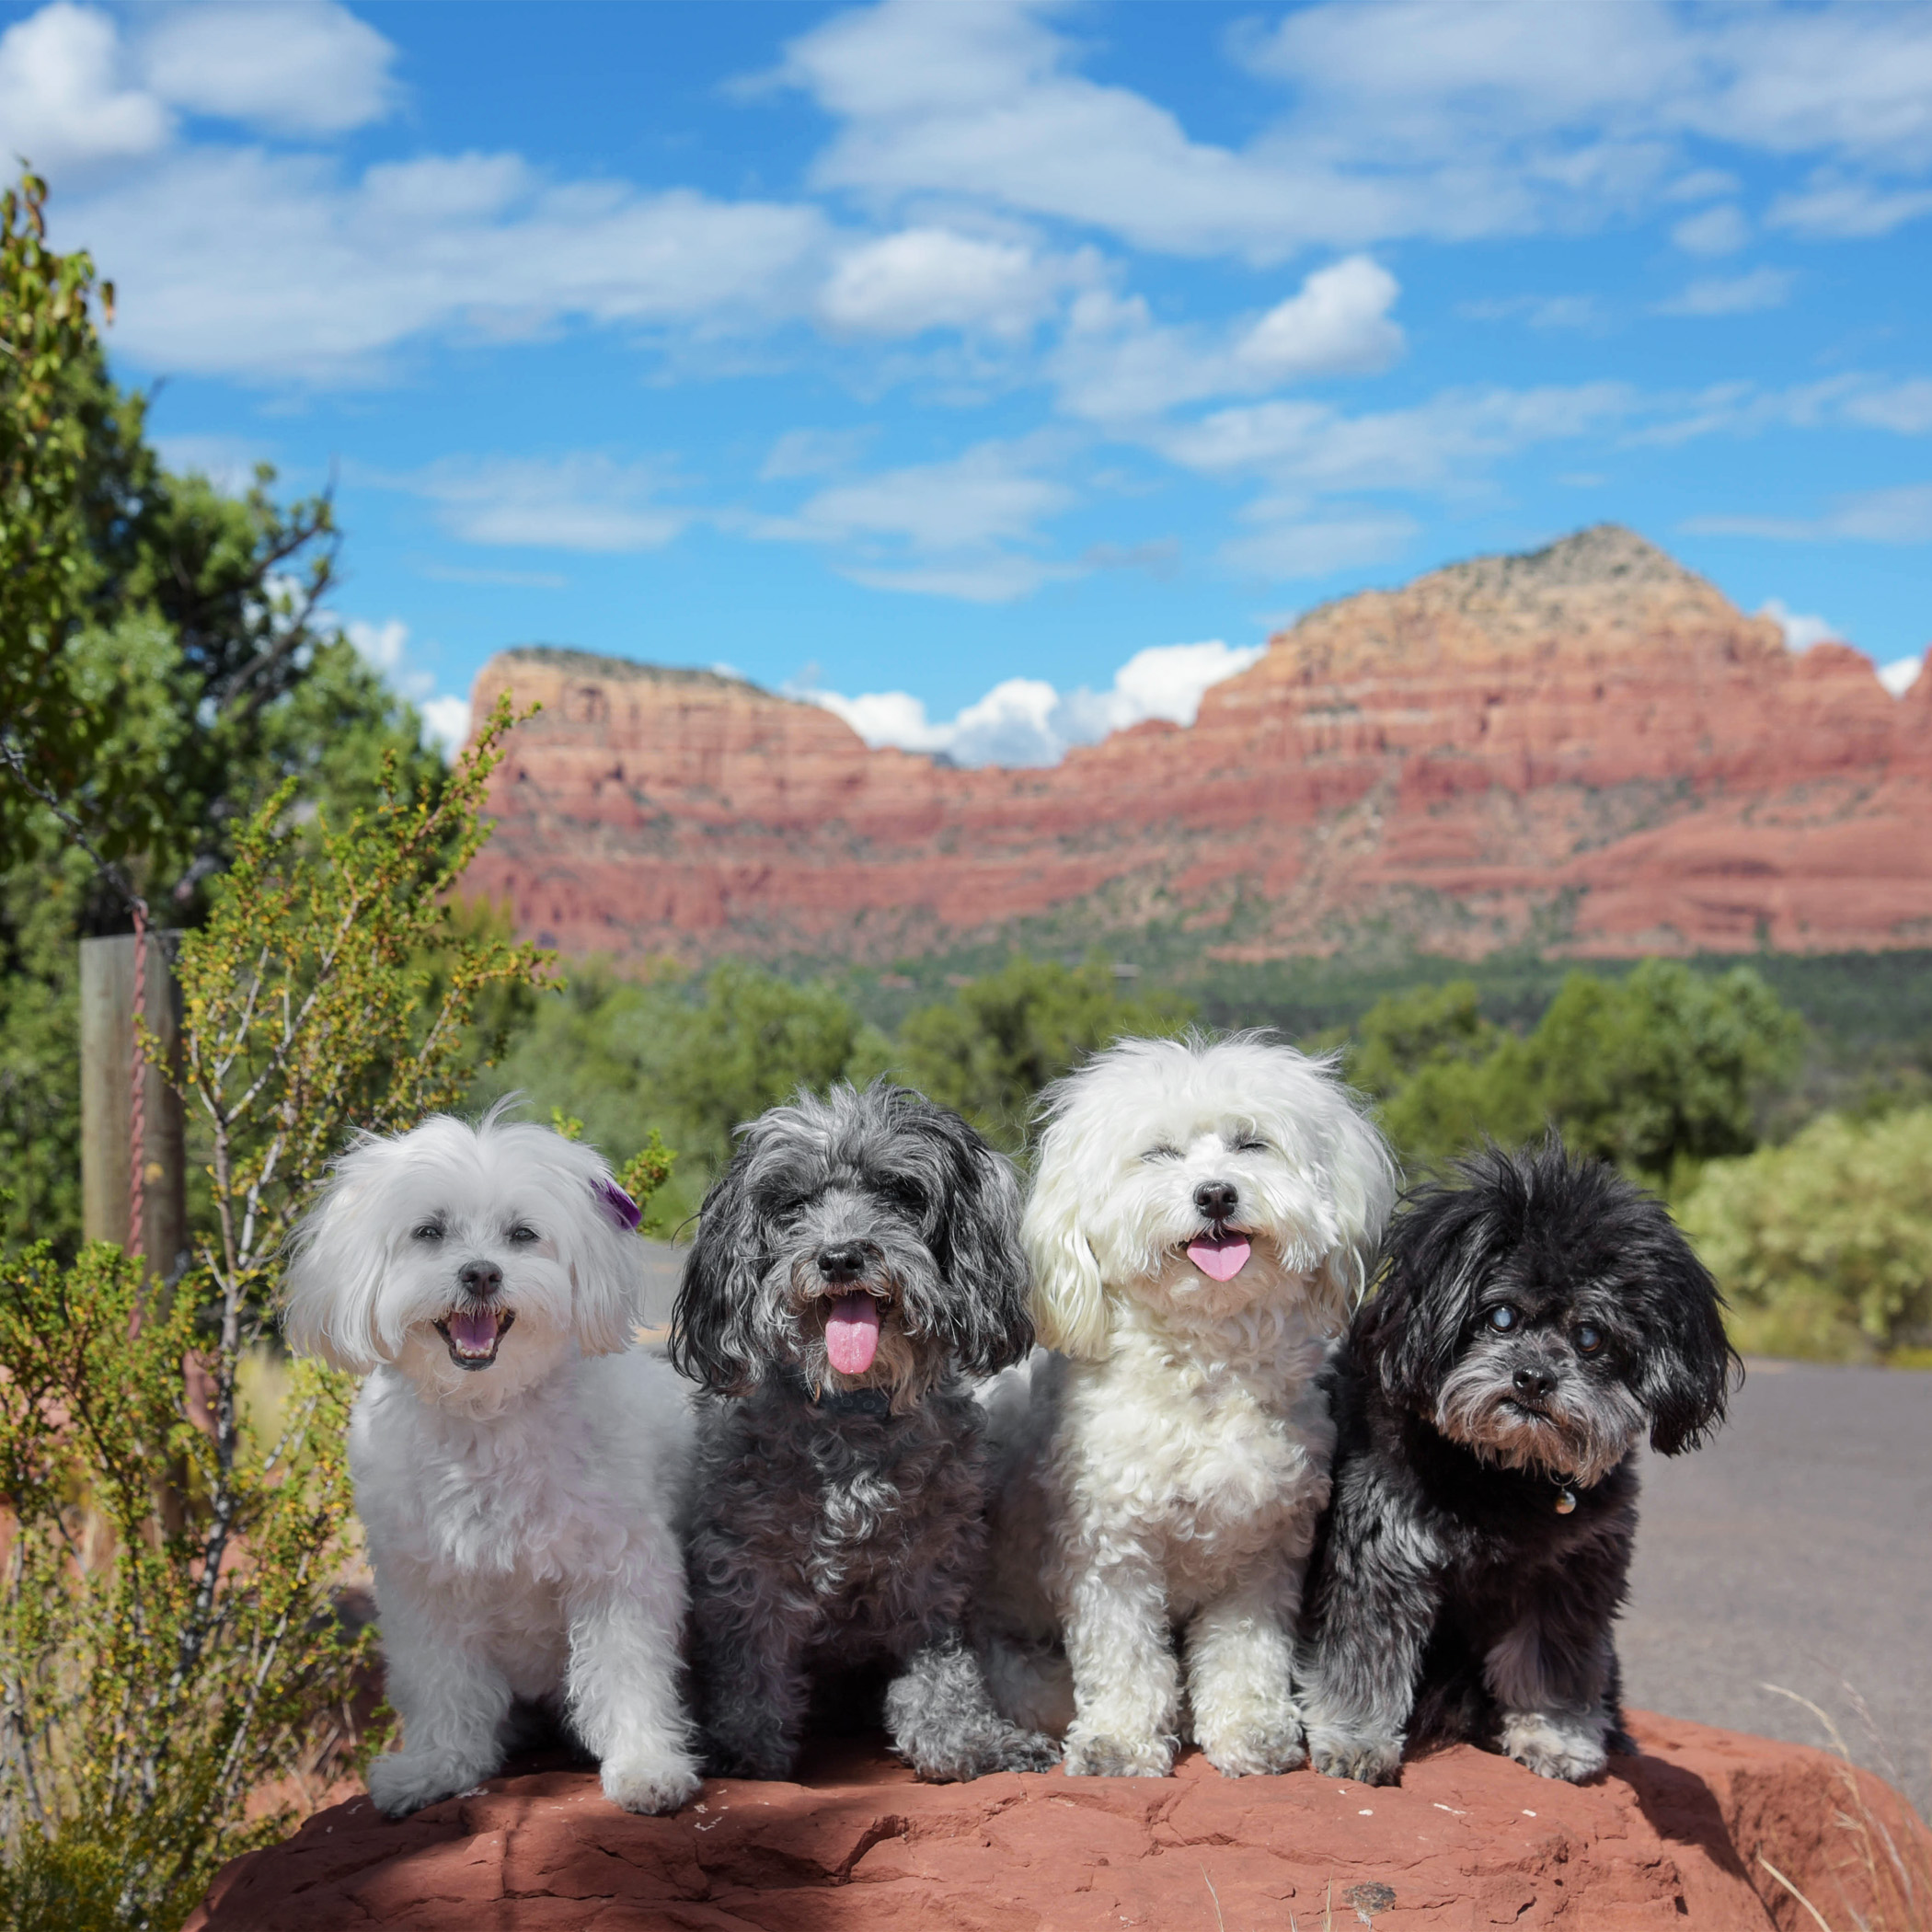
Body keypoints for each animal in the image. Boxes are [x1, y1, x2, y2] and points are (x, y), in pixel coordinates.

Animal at [282, 1112, 699, 1815]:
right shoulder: (426, 1584)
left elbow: (626, 1670)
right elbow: (441, 1679)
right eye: (429, 1231)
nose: (480, 1274)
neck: (487, 1414)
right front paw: (437, 1767)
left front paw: (646, 1766)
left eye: (522, 1234)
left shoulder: (620, 1568)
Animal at [664, 1082, 1058, 1785]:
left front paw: (967, 1744)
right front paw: (745, 1752)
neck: (851, 1410)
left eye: (899, 1191)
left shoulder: (933, 1565)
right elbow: (749, 1660)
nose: (841, 1256)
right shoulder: (746, 1561)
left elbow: (943, 1672)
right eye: (792, 1203)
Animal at [973, 1043, 1398, 1777]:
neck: (1207, 1365)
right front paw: (1118, 1742)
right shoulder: (1109, 1552)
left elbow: (1244, 1653)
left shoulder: (1261, 1552)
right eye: (1159, 1154)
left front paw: (1251, 1730)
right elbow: (1125, 1659)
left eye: (1250, 1143)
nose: (1216, 1194)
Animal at [1298, 1135, 1738, 1785]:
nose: (1533, 1378)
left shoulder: (1571, 1572)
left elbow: (1552, 1664)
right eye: (1501, 1315)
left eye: (1590, 1336)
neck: (1499, 1474)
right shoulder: (1380, 1551)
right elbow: (1363, 1653)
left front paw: (1555, 1739)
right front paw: (1355, 1740)